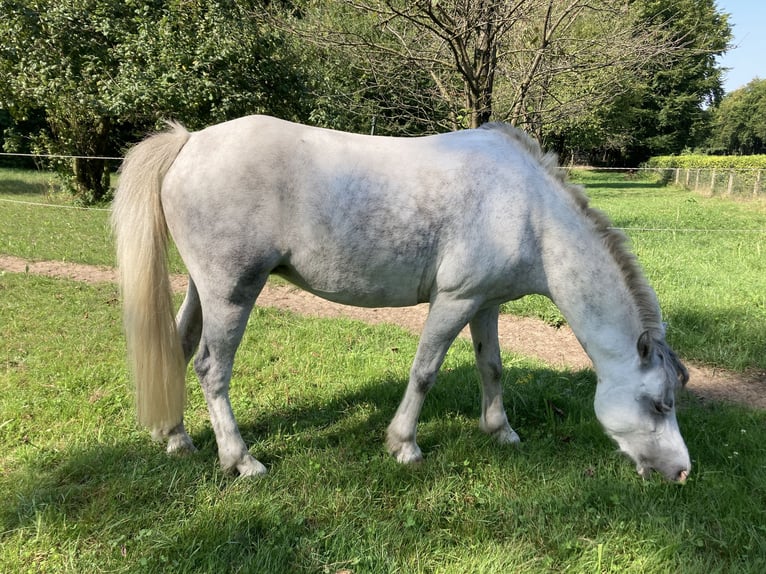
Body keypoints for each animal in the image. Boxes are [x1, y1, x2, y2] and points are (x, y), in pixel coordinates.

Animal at [114, 116, 696, 482]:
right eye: (659, 403)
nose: (682, 472)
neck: (530, 213)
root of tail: (190, 141)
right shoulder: (455, 300)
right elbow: (424, 372)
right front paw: (404, 445)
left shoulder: (485, 304)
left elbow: (492, 368)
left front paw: (501, 431)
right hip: (232, 292)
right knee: (211, 367)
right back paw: (240, 460)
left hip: (202, 290)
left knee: (178, 347)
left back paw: (176, 438)